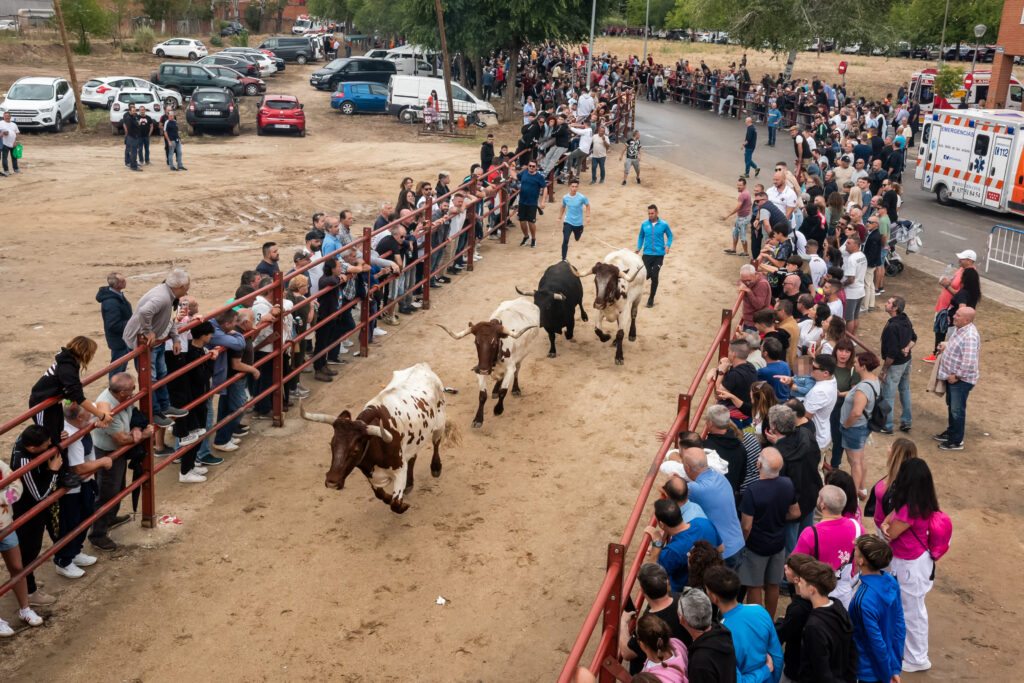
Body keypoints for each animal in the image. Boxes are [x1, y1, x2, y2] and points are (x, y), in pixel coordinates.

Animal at [299, 362, 460, 511]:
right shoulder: (372, 475)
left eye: (355, 450)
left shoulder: (399, 470)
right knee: (413, 457)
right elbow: (381, 496)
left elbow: (395, 504)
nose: (331, 482)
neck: (378, 446)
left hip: (439, 424)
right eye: (332, 445)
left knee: (436, 443)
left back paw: (436, 467)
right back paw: (410, 484)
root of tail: (422, 365)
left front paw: (403, 505)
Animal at [436, 296, 540, 428]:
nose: (485, 369)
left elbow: (503, 390)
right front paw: (478, 419)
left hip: (522, 356)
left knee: (517, 370)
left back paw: (515, 389)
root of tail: (522, 299)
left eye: (494, 342)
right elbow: (482, 395)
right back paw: (495, 389)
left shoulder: (510, 368)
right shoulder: (480, 369)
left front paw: (498, 409)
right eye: (476, 342)